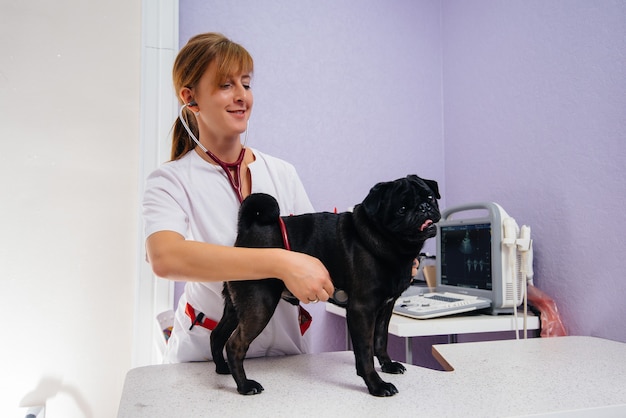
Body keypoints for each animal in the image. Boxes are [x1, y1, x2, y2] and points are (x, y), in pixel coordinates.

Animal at [212, 175, 442, 396]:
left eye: (430, 197)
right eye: (401, 209)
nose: (423, 207)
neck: (392, 246)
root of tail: (246, 231)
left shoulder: (385, 308)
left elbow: (380, 340)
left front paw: (388, 365)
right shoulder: (362, 310)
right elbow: (365, 352)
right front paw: (376, 385)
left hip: (236, 307)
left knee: (217, 334)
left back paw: (222, 368)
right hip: (260, 306)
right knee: (234, 345)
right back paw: (244, 386)